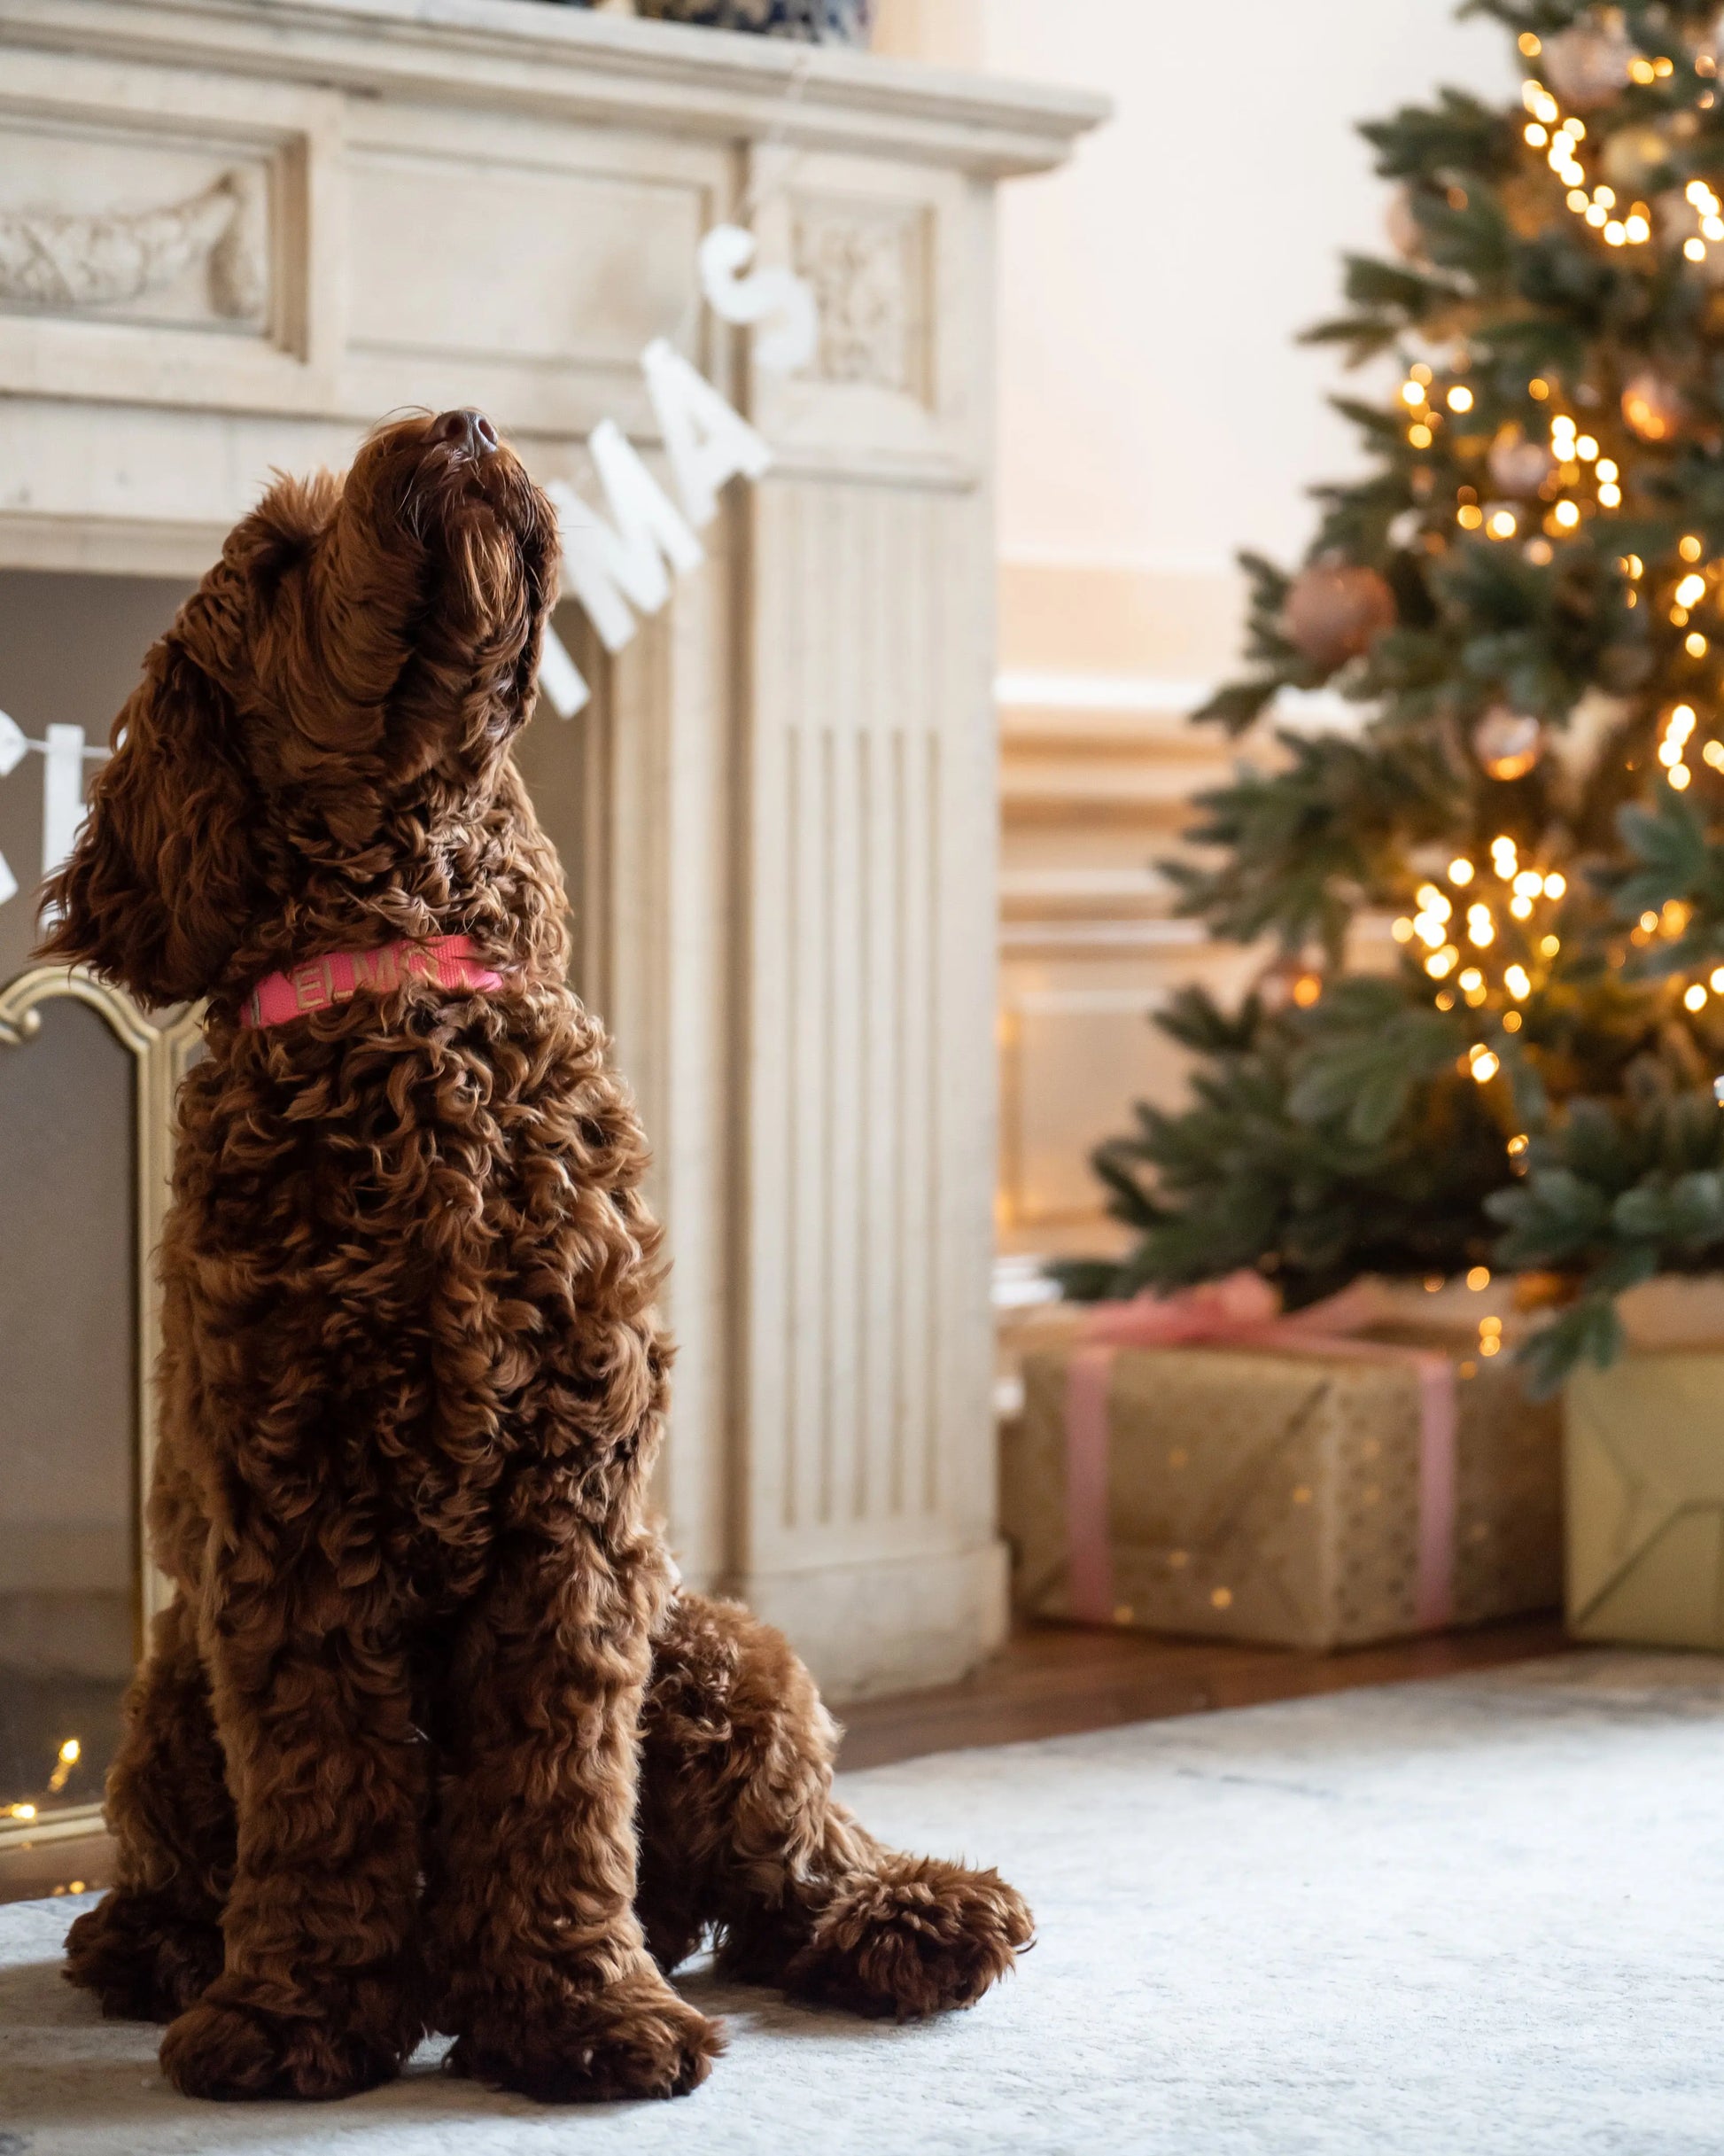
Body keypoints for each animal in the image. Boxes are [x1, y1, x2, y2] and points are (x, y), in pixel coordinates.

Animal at [40, 405, 1029, 2104]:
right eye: (274, 557)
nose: (462, 424)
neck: (411, 989)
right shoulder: (293, 1521)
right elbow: (325, 1785)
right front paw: (294, 2014)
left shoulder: (570, 1513)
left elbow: (557, 1790)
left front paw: (579, 2008)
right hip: (169, 1682)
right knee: (180, 1859)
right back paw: (161, 1943)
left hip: (717, 1642)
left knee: (787, 1855)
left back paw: (905, 1916)